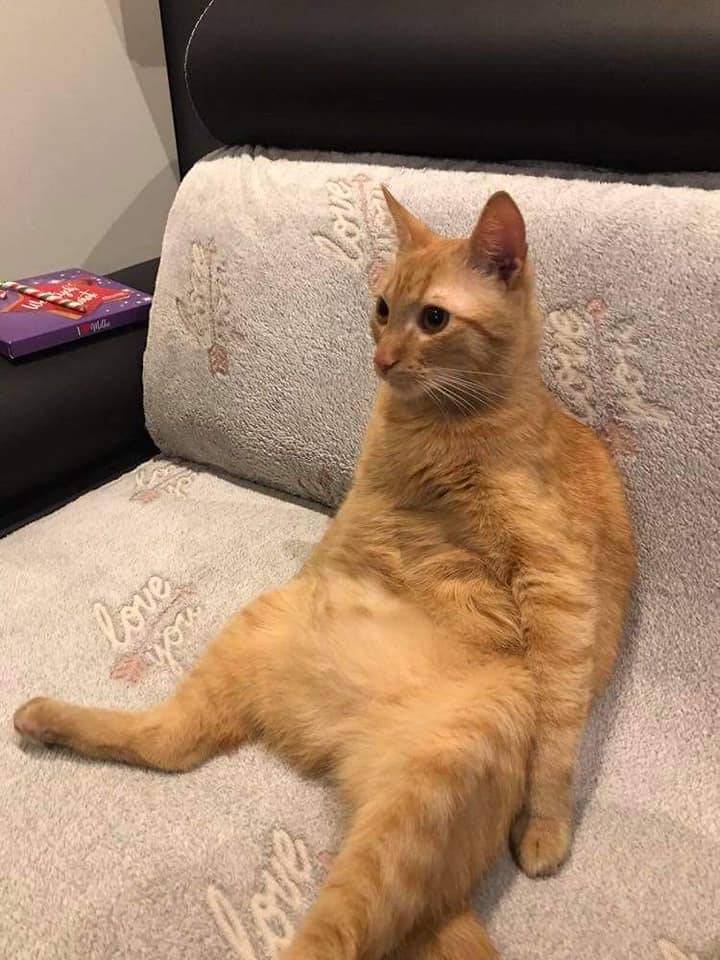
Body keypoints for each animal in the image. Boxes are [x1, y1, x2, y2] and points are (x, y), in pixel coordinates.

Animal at [13, 188, 635, 960]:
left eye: (433, 318)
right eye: (382, 307)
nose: (383, 358)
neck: (444, 430)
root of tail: (334, 746)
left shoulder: (559, 586)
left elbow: (558, 740)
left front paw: (547, 825)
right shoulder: (367, 510)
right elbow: (347, 535)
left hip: (423, 796)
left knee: (340, 930)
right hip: (263, 625)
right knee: (171, 744)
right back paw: (42, 718)